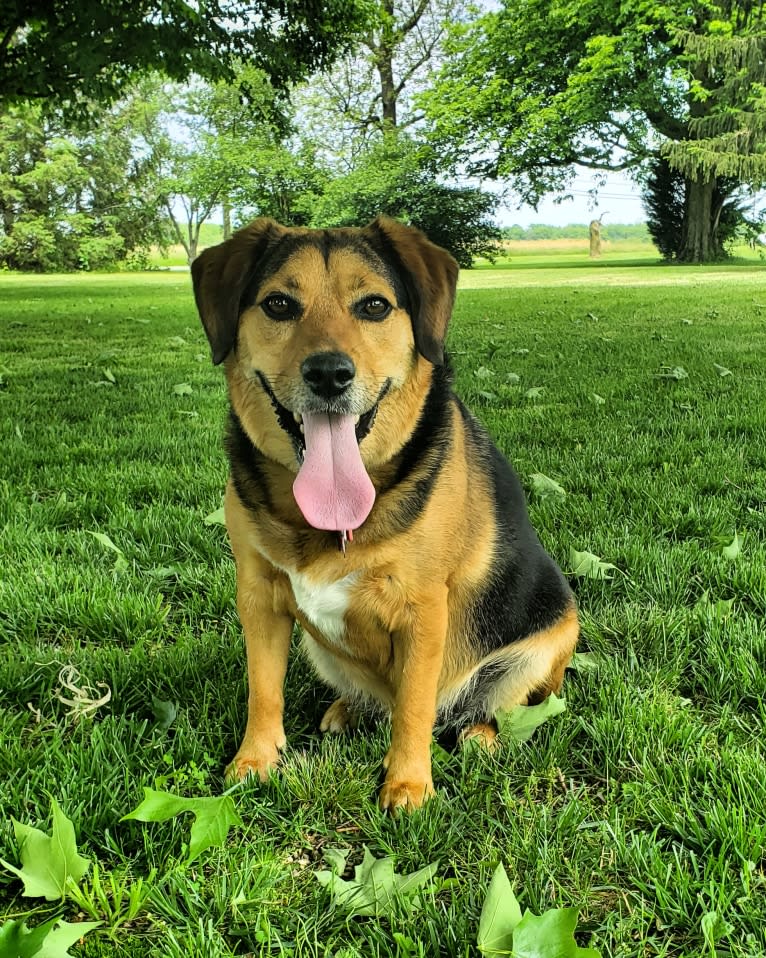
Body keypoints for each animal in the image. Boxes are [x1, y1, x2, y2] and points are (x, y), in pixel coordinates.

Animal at [194, 218, 584, 808]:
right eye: (279, 304)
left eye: (375, 306)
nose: (329, 373)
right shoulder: (258, 596)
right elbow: (263, 690)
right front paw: (255, 760)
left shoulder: (423, 610)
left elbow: (414, 708)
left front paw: (408, 784)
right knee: (374, 697)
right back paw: (349, 708)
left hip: (549, 639)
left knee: (495, 705)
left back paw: (479, 733)